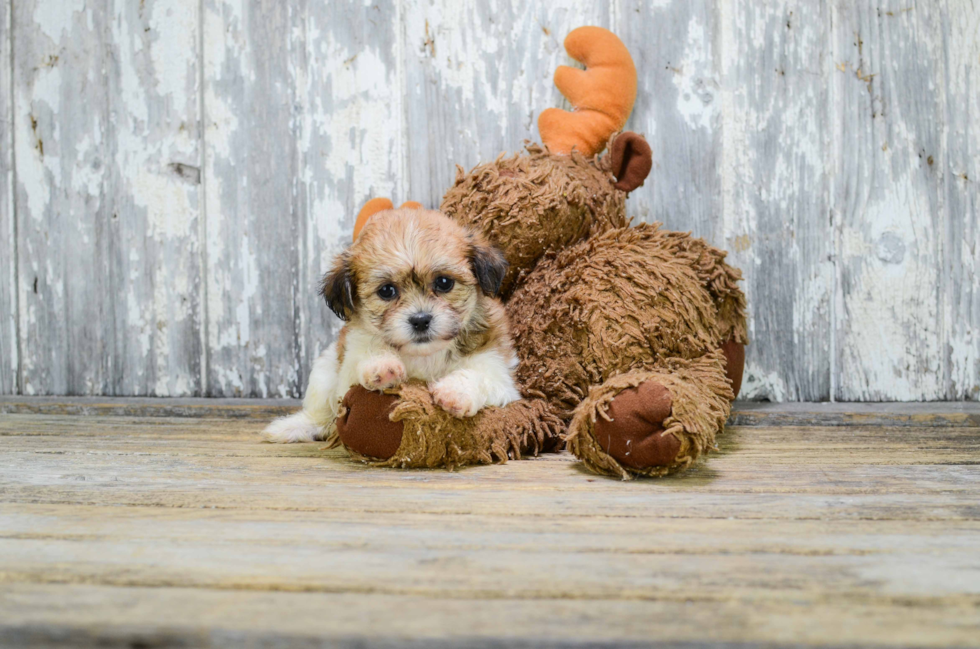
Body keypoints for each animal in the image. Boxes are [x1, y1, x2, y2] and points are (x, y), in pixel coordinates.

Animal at [260, 206, 520, 440]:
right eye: (387, 291)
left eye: (444, 283)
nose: (420, 320)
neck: (424, 355)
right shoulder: (348, 369)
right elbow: (363, 359)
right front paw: (381, 366)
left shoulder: (498, 369)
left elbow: (481, 375)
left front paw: (455, 391)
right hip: (324, 372)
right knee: (323, 416)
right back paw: (294, 427)